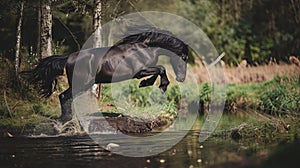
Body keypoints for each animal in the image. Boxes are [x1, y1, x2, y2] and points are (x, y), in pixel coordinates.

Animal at [27, 26, 188, 122]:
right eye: (184, 57)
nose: (181, 78)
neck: (144, 47)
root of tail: (69, 58)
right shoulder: (139, 71)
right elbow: (161, 69)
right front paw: (161, 86)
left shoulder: (142, 71)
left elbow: (158, 71)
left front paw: (146, 83)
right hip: (82, 84)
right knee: (64, 96)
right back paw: (66, 120)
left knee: (64, 97)